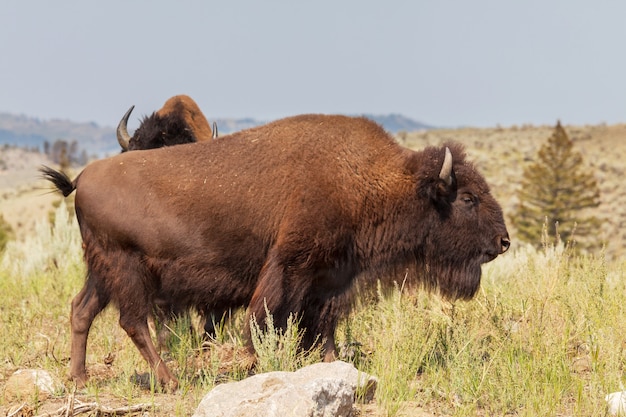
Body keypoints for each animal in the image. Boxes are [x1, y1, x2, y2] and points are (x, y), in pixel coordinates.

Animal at [40, 112, 508, 388]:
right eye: (467, 198)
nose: (503, 241)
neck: (370, 179)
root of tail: (82, 178)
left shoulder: (330, 279)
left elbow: (322, 325)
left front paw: (330, 363)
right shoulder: (291, 268)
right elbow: (269, 319)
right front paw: (260, 362)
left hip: (101, 272)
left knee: (82, 310)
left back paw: (79, 379)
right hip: (126, 269)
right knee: (133, 321)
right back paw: (170, 381)